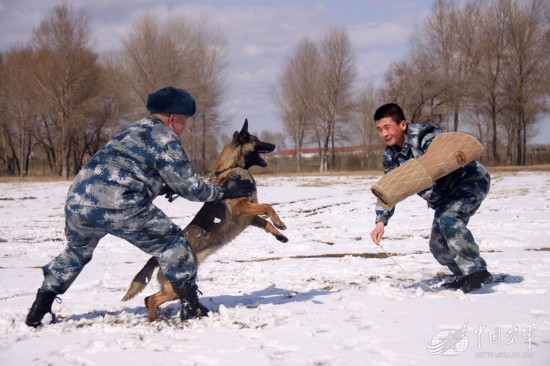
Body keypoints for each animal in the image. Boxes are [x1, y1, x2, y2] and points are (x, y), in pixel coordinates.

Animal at [121, 120, 288, 320]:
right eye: (256, 140)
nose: (274, 145)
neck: (231, 168)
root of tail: (156, 257)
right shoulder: (242, 208)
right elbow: (269, 207)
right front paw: (280, 223)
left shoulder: (249, 217)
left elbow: (266, 223)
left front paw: (280, 235)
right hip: (177, 286)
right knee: (152, 299)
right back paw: (157, 319)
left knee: (148, 299)